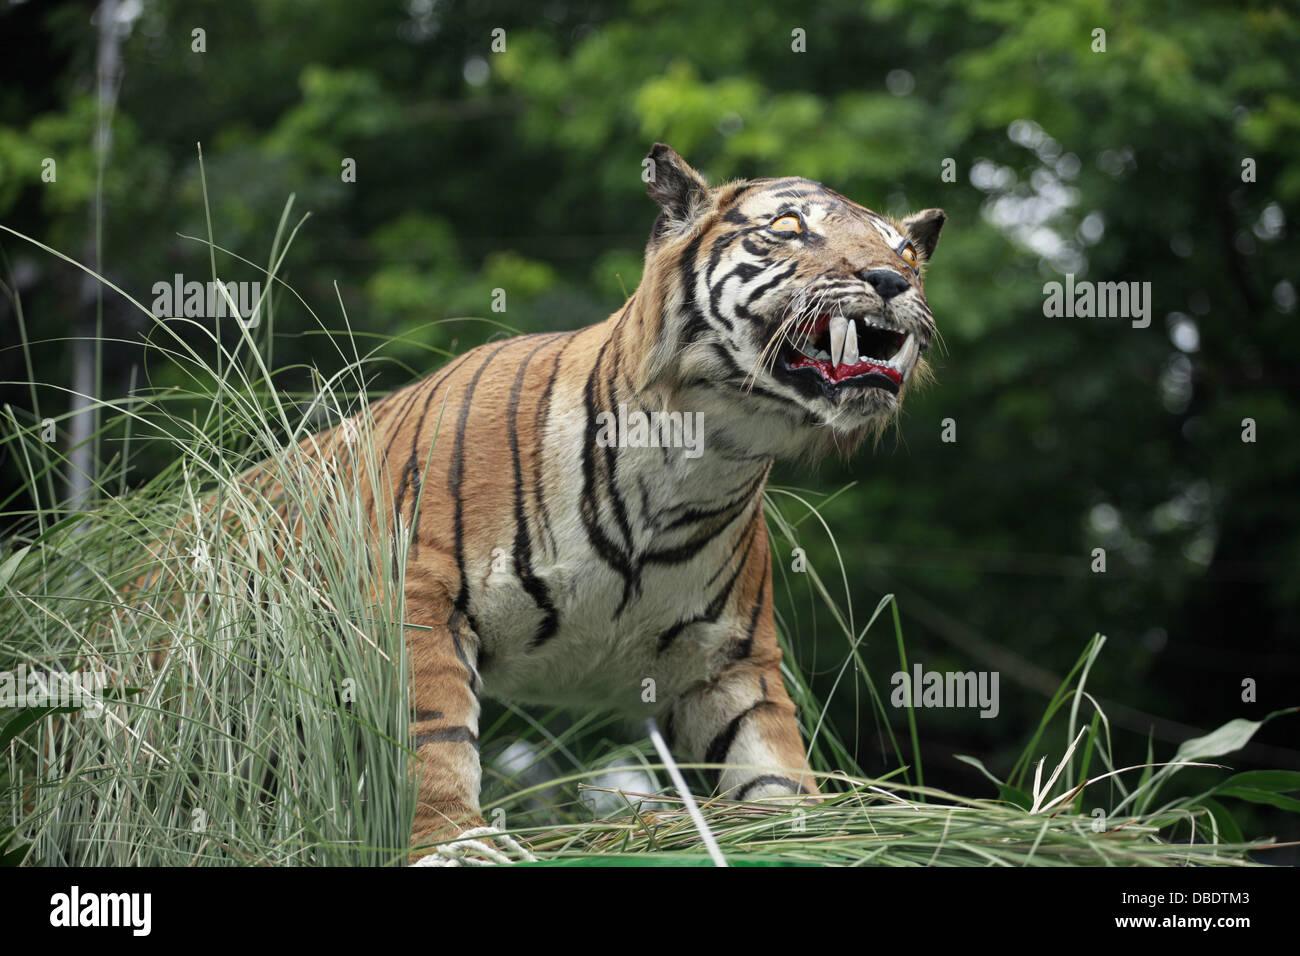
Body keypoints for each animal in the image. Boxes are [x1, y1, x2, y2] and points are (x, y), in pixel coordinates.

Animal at [356, 141, 946, 858]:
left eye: (906, 251)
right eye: (787, 227)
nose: (892, 280)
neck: (695, 464)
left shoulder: (732, 662)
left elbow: (771, 768)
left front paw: (819, 834)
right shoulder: (416, 595)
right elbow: (431, 733)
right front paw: (454, 843)